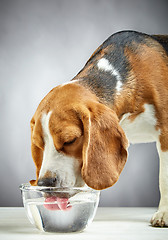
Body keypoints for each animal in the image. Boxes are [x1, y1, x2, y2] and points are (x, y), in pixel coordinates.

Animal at [29, 31, 168, 227]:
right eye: (39, 144)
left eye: (70, 140)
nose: (45, 183)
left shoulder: (166, 133)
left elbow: (164, 177)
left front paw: (164, 213)